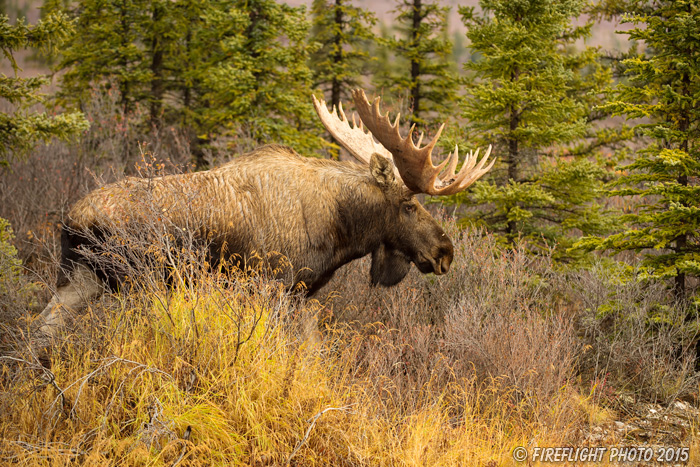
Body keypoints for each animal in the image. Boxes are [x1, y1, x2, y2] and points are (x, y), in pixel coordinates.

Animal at [35, 89, 494, 342]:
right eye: (409, 205)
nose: (445, 252)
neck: (341, 227)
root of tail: (71, 220)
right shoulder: (274, 285)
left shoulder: (301, 293)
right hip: (134, 281)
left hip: (80, 278)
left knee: (39, 332)